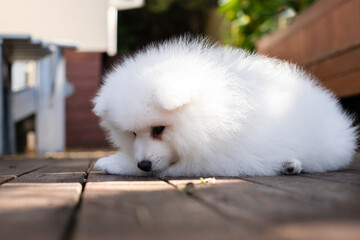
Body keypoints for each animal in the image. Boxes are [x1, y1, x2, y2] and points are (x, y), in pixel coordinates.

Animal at [93, 36, 358, 177]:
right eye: (132, 133)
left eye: (159, 129)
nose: (143, 164)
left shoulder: (214, 158)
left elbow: (169, 167)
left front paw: (114, 162)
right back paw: (288, 165)